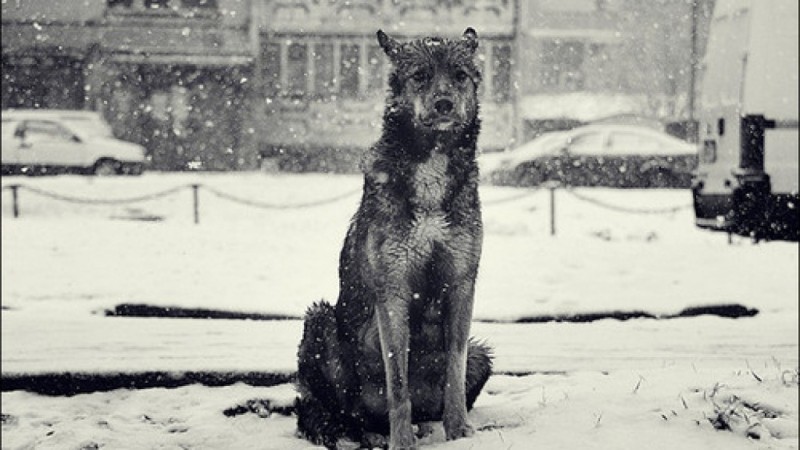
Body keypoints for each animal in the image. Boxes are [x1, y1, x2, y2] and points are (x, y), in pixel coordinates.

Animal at [296, 29, 490, 450]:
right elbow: (397, 381)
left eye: (460, 75)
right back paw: (362, 432)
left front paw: (458, 430)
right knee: (334, 411)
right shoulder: (394, 288)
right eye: (420, 76)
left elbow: (454, 367)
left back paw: (423, 426)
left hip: (482, 354)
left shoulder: (462, 284)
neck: (432, 162)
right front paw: (401, 441)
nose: (444, 103)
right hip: (320, 321)